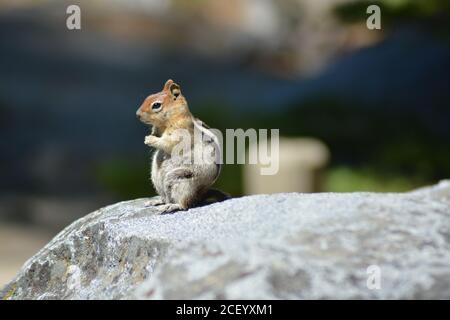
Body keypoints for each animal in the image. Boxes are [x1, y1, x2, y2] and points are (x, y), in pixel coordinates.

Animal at [136, 79, 229, 214]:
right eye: (148, 97)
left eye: (156, 105)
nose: (137, 114)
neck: (167, 122)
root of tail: (199, 195)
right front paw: (151, 135)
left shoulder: (181, 132)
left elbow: (168, 143)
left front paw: (150, 139)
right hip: (156, 178)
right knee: (166, 197)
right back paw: (157, 201)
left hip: (183, 180)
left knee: (185, 204)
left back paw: (171, 206)